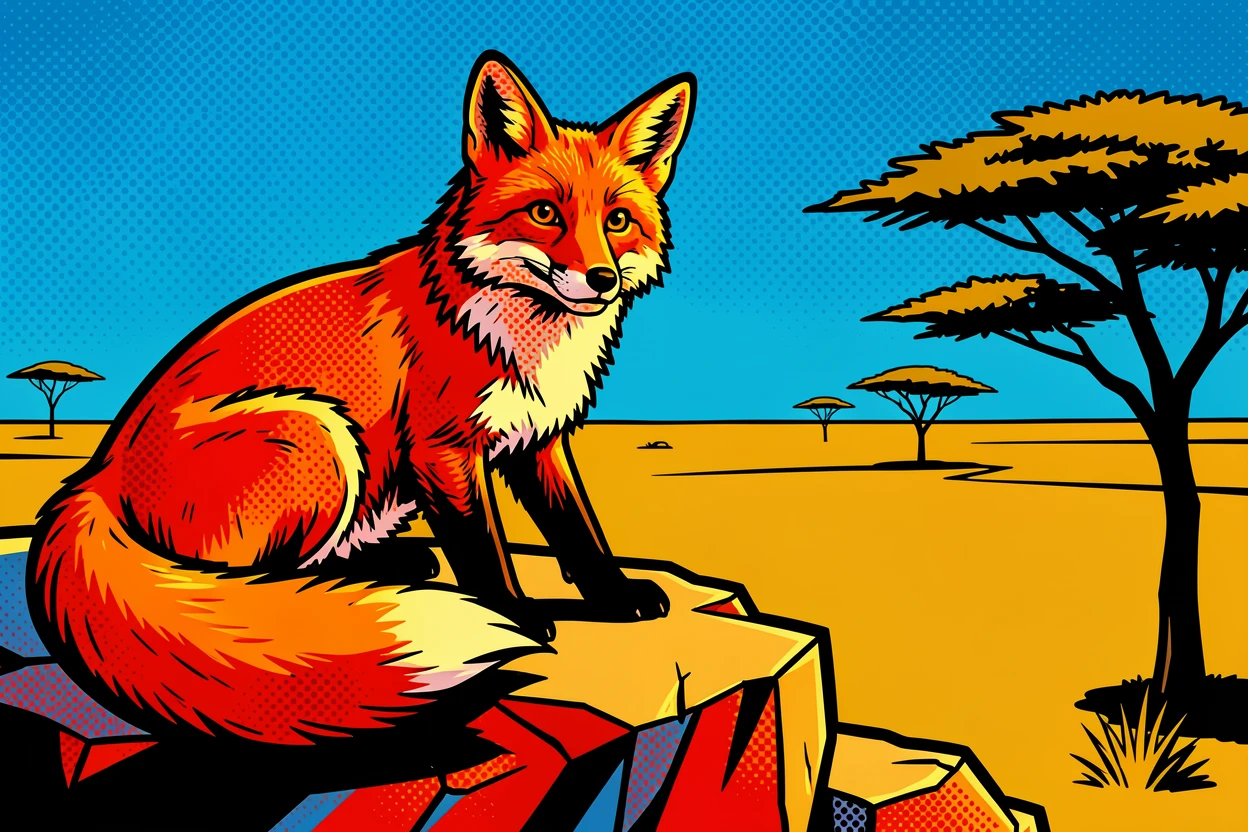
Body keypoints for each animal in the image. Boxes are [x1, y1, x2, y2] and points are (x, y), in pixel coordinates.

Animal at [28, 52, 696, 745]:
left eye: (617, 221)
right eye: (544, 214)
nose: (602, 279)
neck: (518, 334)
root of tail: (98, 472)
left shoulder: (536, 439)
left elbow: (579, 532)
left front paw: (617, 596)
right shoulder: (443, 449)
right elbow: (484, 550)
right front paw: (513, 614)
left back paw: (394, 563)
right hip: (317, 436)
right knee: (246, 588)